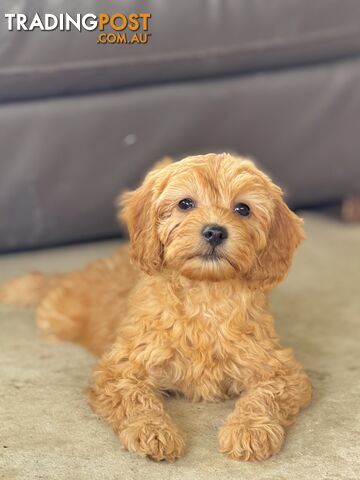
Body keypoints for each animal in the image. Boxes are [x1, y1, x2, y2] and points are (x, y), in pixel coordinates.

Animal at [0, 154, 310, 462]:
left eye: (243, 209)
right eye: (185, 204)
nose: (214, 232)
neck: (204, 295)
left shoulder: (278, 367)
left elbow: (265, 395)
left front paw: (250, 429)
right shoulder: (123, 366)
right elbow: (136, 398)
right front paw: (152, 430)